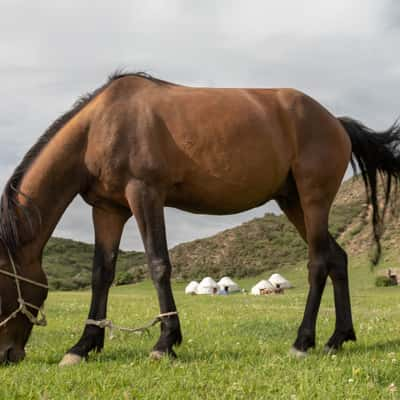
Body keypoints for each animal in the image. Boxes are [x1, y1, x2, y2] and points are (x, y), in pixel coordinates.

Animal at [0, 72, 400, 366]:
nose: (7, 355)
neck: (102, 123)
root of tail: (336, 122)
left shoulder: (144, 194)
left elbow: (158, 265)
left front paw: (165, 343)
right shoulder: (108, 209)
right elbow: (102, 274)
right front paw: (83, 345)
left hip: (313, 200)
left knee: (318, 264)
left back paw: (303, 342)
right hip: (293, 203)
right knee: (338, 259)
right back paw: (338, 338)